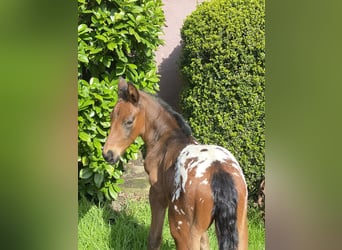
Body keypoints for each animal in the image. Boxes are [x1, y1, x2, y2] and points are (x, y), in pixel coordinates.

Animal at [102, 77, 248, 249]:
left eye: (129, 121)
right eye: (111, 117)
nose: (108, 154)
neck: (167, 139)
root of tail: (219, 173)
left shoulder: (157, 195)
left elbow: (154, 238)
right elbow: (205, 242)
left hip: (181, 230)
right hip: (240, 231)